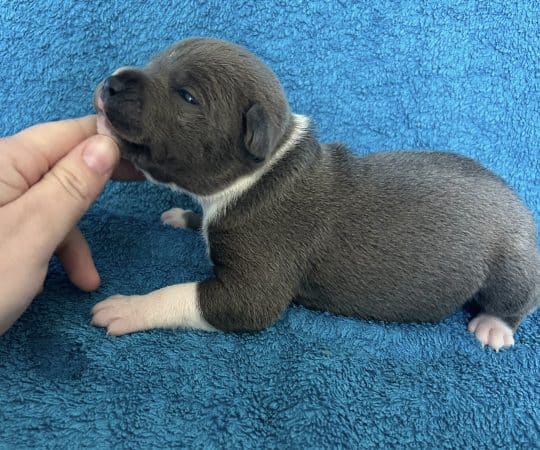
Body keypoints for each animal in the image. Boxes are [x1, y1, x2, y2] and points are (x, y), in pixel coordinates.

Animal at [90, 37, 536, 350]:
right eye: (155, 61)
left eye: (186, 96)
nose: (111, 84)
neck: (266, 167)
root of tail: (519, 204)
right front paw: (183, 217)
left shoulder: (254, 284)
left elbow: (190, 295)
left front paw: (130, 306)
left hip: (511, 261)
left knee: (520, 297)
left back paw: (494, 326)